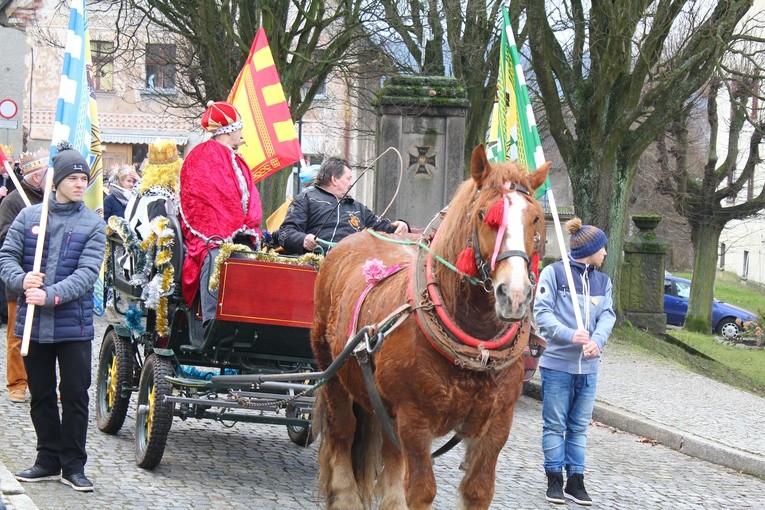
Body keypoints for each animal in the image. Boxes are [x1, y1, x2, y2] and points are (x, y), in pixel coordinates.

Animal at [310, 145, 548, 508]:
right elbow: (421, 490)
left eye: (534, 218)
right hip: (333, 371)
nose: (516, 295)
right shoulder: (414, 419)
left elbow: (478, 490)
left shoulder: (497, 423)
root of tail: (345, 243)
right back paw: (346, 495)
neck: (474, 347)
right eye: (484, 215)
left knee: (390, 452)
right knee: (343, 431)